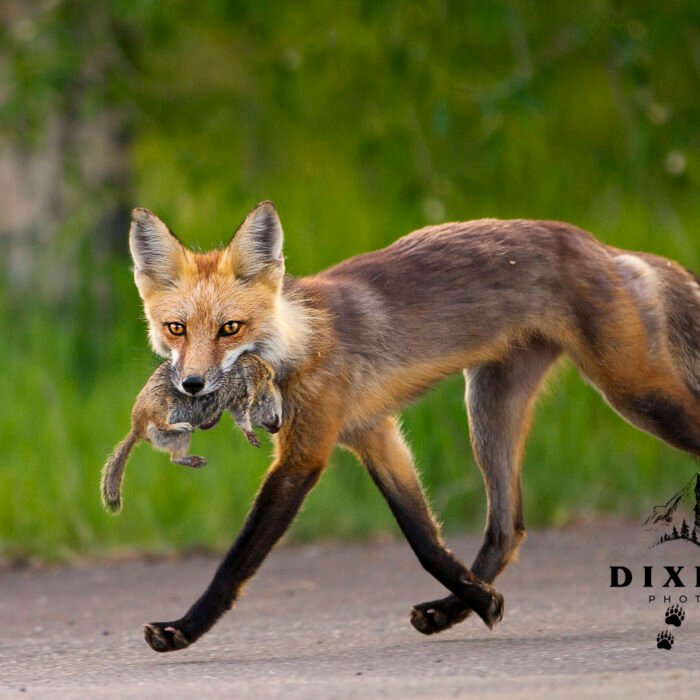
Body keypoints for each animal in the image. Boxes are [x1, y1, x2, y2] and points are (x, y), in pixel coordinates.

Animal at [101, 353, 282, 514]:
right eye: (278, 411)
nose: (277, 428)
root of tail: (137, 428)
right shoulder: (248, 384)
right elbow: (245, 412)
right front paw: (251, 432)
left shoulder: (236, 401)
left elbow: (238, 416)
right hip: (162, 404)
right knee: (161, 424)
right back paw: (179, 426)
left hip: (179, 439)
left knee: (174, 458)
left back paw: (193, 460)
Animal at [125, 203, 700, 653]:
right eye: (176, 328)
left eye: (230, 328)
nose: (192, 384)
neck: (301, 342)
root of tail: (604, 247)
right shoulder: (373, 434)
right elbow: (424, 540)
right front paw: (481, 601)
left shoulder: (304, 455)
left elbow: (236, 560)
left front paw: (184, 628)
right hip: (488, 408)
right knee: (507, 528)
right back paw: (453, 609)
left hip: (636, 396)